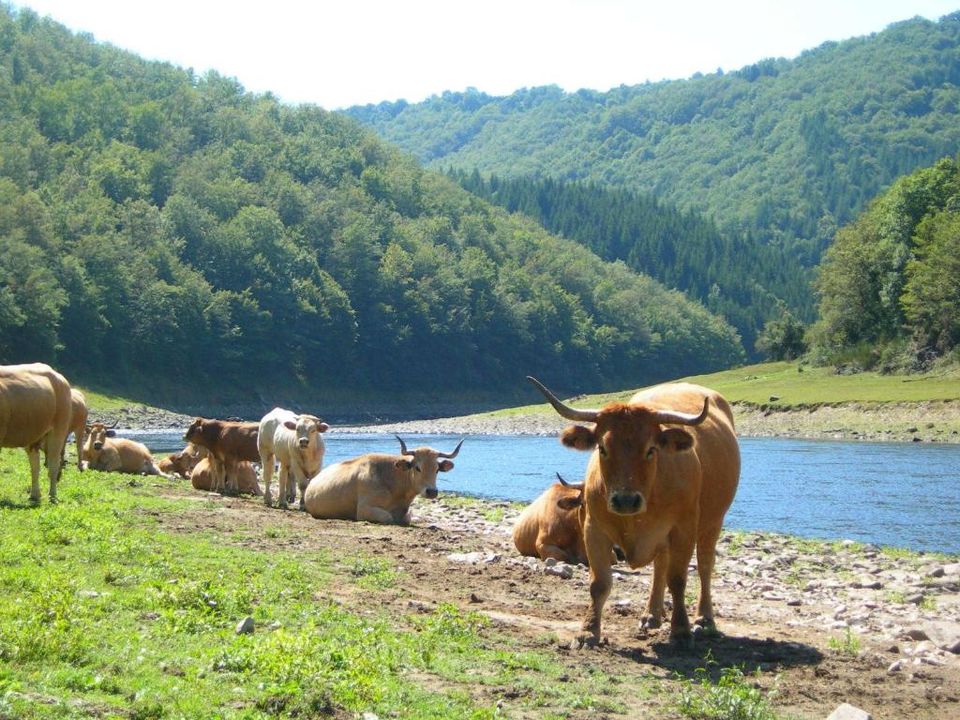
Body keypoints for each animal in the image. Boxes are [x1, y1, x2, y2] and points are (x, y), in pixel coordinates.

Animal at [0, 362, 72, 504]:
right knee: (35, 465)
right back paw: (35, 494)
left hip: (59, 429)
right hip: (33, 435)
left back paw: (52, 496)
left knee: (53, 464)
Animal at [528, 376, 740, 648]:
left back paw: (704, 619)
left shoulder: (683, 529)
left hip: (712, 522)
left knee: (704, 565)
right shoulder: (594, 530)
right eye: (602, 448)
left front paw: (681, 631)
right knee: (661, 567)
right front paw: (588, 631)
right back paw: (651, 615)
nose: (625, 500)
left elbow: (678, 580)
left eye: (651, 449)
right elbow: (599, 583)